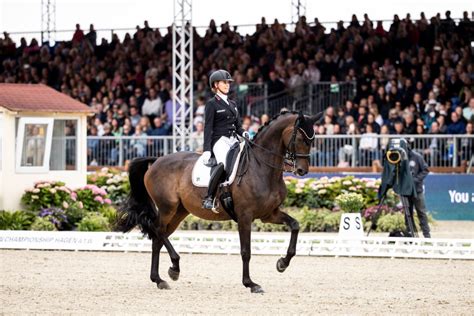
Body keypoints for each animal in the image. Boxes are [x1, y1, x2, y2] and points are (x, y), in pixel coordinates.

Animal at [115, 111, 322, 294]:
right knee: (157, 230)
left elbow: (295, 225)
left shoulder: (269, 214)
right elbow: (246, 251)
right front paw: (251, 284)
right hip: (167, 207)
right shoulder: (245, 216)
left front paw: (282, 263)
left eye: (312, 141)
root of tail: (157, 160)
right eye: (302, 139)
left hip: (179, 212)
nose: (302, 171)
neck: (261, 168)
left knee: (158, 238)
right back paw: (174, 267)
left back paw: (159, 279)